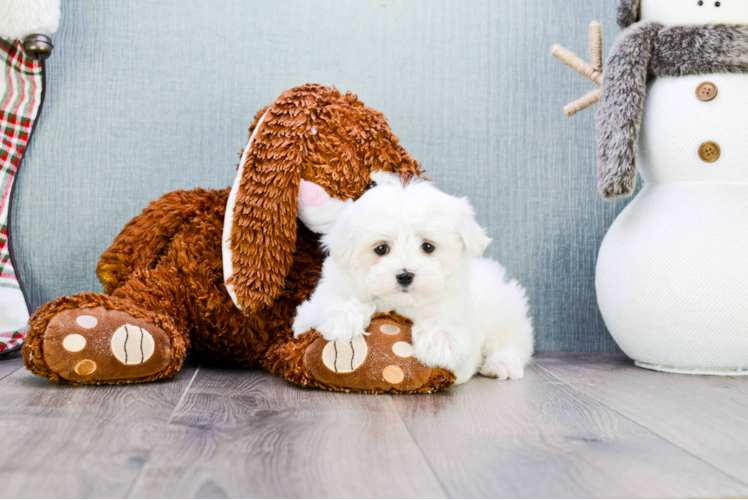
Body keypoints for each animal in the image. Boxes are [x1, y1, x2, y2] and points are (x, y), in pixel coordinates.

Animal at [292, 172, 532, 382]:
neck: (399, 303)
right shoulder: (313, 307)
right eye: (381, 249)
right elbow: (326, 305)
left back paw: (501, 364)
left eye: (428, 246)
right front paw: (343, 317)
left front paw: (441, 339)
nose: (405, 276)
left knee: (513, 342)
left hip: (505, 314)